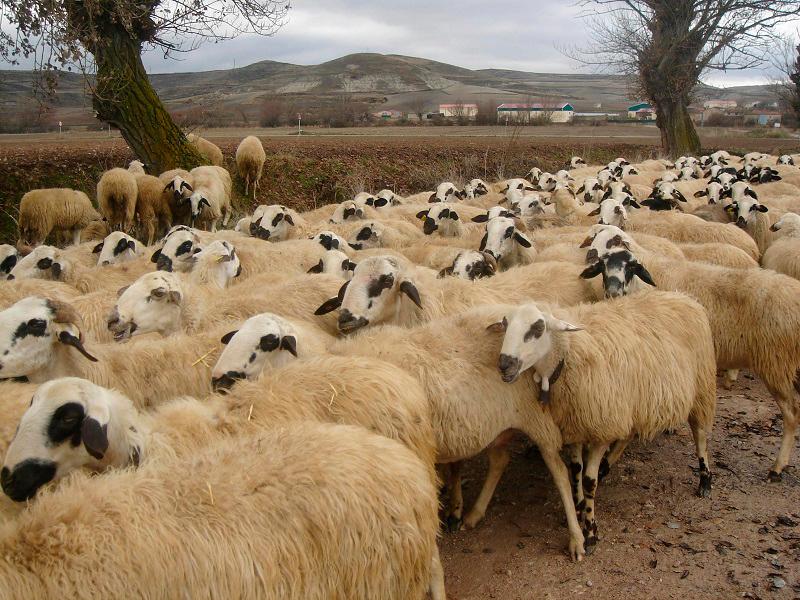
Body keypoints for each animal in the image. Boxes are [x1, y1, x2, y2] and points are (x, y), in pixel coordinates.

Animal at [489, 292, 716, 548]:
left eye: (538, 328)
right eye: (505, 324)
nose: (504, 364)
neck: (568, 355)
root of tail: (683, 296)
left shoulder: (602, 427)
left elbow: (589, 481)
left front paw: (590, 531)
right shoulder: (577, 424)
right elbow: (576, 470)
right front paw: (579, 507)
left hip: (701, 387)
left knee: (699, 435)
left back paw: (705, 481)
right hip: (634, 402)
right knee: (628, 434)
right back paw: (607, 466)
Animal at [581, 248, 800, 480]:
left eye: (631, 266)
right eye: (602, 266)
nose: (612, 291)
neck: (640, 289)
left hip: (776, 364)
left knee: (792, 414)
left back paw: (777, 467)